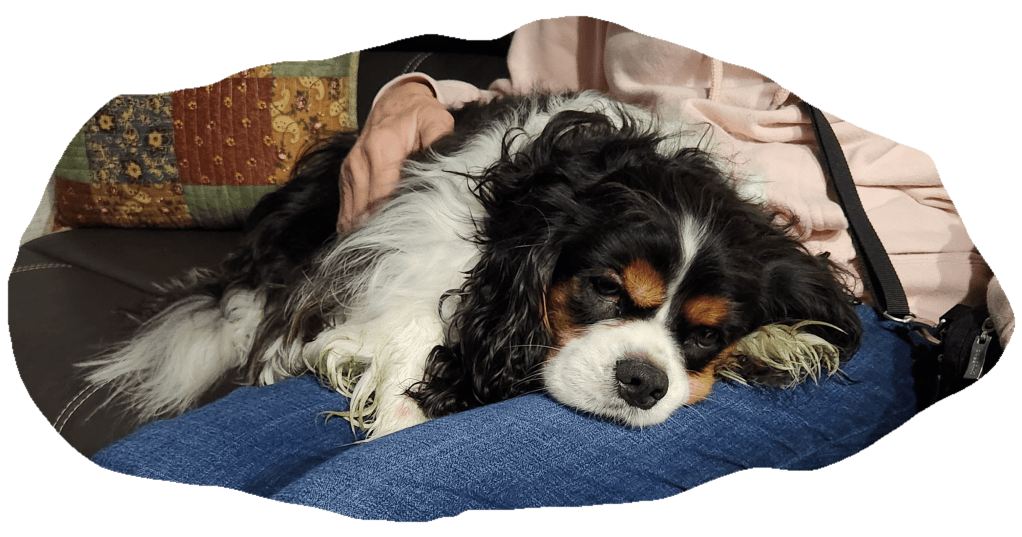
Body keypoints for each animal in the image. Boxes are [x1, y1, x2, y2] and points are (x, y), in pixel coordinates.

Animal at [83, 91, 863, 440]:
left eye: (704, 335)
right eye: (603, 289)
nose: (642, 381)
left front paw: (783, 339)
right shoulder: (405, 245)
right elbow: (406, 327)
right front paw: (400, 408)